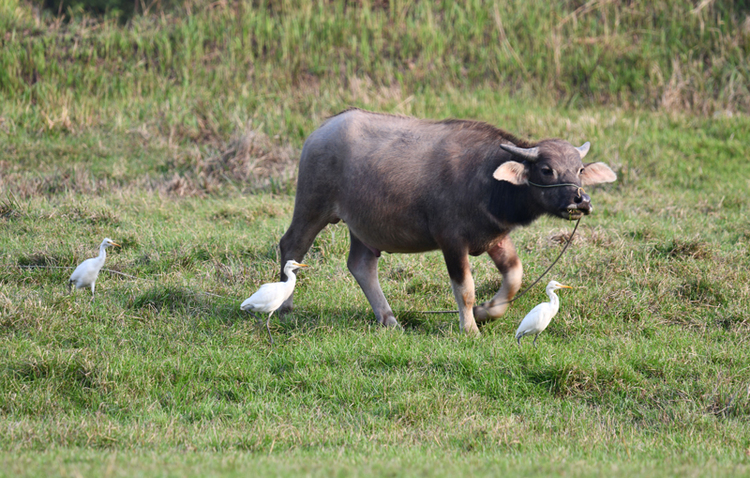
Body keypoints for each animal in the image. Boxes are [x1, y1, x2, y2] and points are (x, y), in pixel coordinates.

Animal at [278, 109, 616, 334]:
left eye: (579, 169)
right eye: (547, 169)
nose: (580, 201)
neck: (487, 180)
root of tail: (320, 131)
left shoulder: (494, 236)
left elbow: (514, 276)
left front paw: (486, 312)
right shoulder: (451, 240)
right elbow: (464, 288)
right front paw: (470, 329)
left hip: (363, 226)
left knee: (361, 265)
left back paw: (388, 318)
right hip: (312, 205)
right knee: (291, 245)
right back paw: (285, 305)